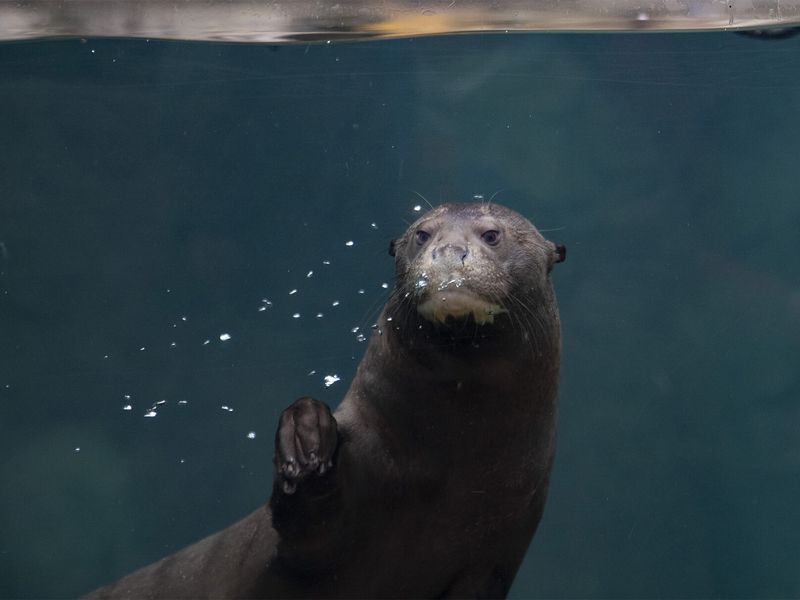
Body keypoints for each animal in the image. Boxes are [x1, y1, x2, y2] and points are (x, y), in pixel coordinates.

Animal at [86, 204, 564, 596]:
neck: (443, 470)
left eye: (491, 235)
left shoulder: (498, 553)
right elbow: (302, 521)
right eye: (422, 234)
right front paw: (306, 432)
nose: (448, 251)